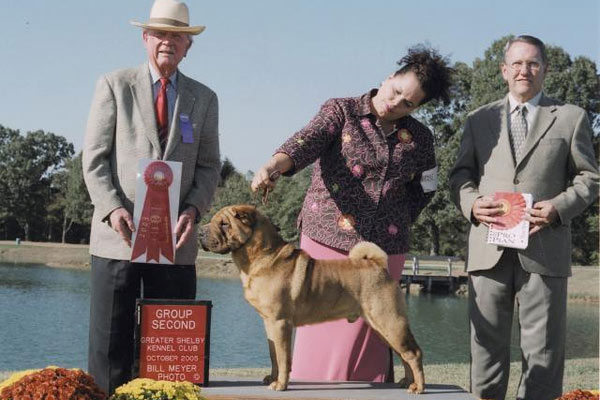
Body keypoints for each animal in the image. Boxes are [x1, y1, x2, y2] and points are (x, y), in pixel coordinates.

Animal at [199, 205, 424, 393]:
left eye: (224, 224)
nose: (200, 231)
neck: (263, 257)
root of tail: (378, 265)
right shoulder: (269, 323)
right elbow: (273, 354)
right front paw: (271, 378)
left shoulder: (280, 323)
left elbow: (283, 357)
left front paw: (280, 385)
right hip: (382, 327)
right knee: (404, 353)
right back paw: (407, 382)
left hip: (389, 321)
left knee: (414, 353)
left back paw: (418, 387)